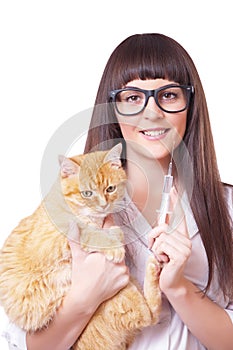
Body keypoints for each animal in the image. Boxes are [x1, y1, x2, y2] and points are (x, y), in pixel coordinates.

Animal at [0, 144, 161, 348]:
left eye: (110, 188)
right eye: (87, 193)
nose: (103, 206)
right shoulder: (59, 235)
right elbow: (91, 232)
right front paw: (114, 244)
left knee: (151, 315)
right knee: (148, 317)